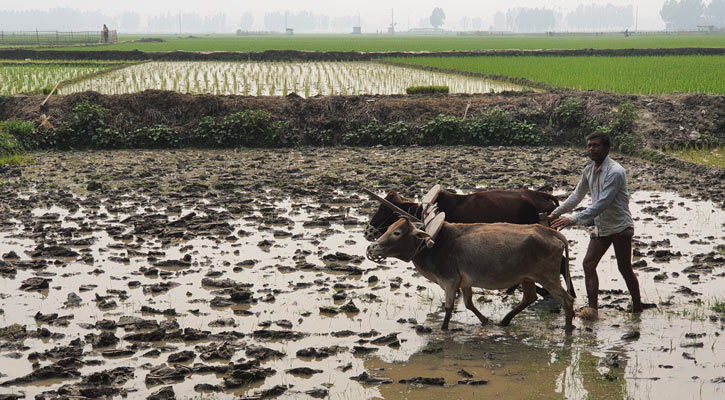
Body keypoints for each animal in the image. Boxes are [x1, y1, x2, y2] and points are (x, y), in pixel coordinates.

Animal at [364, 219, 576, 332]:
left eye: (397, 232)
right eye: (389, 228)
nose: (371, 248)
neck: (435, 244)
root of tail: (551, 232)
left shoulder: (450, 281)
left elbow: (449, 307)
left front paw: (443, 329)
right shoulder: (464, 282)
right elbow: (468, 304)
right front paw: (485, 320)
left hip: (547, 277)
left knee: (567, 300)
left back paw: (567, 329)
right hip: (527, 278)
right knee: (530, 298)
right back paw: (505, 321)